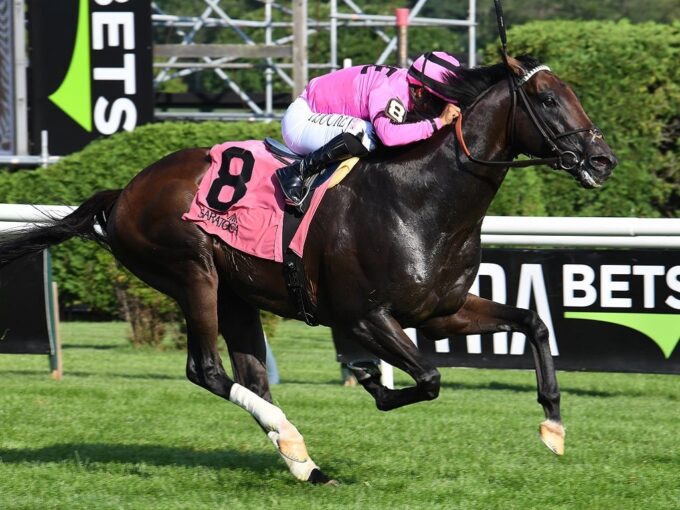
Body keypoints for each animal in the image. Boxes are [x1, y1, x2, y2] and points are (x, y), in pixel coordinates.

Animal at [0, 55, 616, 482]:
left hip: (235, 293)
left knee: (251, 378)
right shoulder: (362, 315)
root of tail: (124, 192)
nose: (603, 160)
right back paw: (293, 444)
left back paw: (303, 461)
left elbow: (532, 323)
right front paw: (371, 380)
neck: (423, 198)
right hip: (192, 272)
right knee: (206, 370)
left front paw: (554, 426)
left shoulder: (441, 311)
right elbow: (430, 378)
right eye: (547, 98)